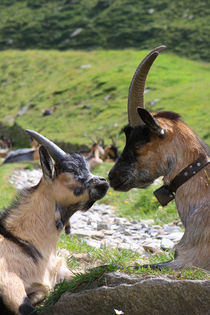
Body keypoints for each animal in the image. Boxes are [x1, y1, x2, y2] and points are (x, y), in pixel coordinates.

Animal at [0, 130, 108, 314]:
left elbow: (99, 269)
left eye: (87, 166)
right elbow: (28, 308)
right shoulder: (8, 280)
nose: (103, 182)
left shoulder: (62, 272)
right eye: (70, 169)